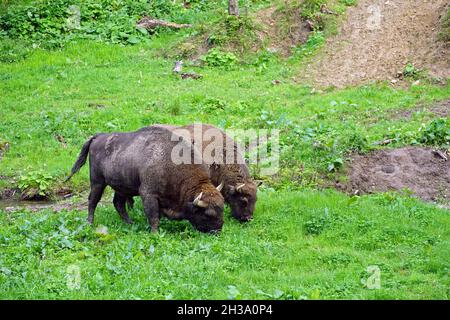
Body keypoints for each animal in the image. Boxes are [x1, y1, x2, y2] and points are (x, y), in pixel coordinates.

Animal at [66, 126, 224, 234]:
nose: (217, 231)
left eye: (222, 208)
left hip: (121, 187)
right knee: (93, 201)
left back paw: (130, 223)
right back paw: (90, 224)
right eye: (208, 214)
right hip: (98, 182)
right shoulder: (148, 194)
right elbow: (153, 216)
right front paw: (155, 232)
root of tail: (98, 137)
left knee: (118, 203)